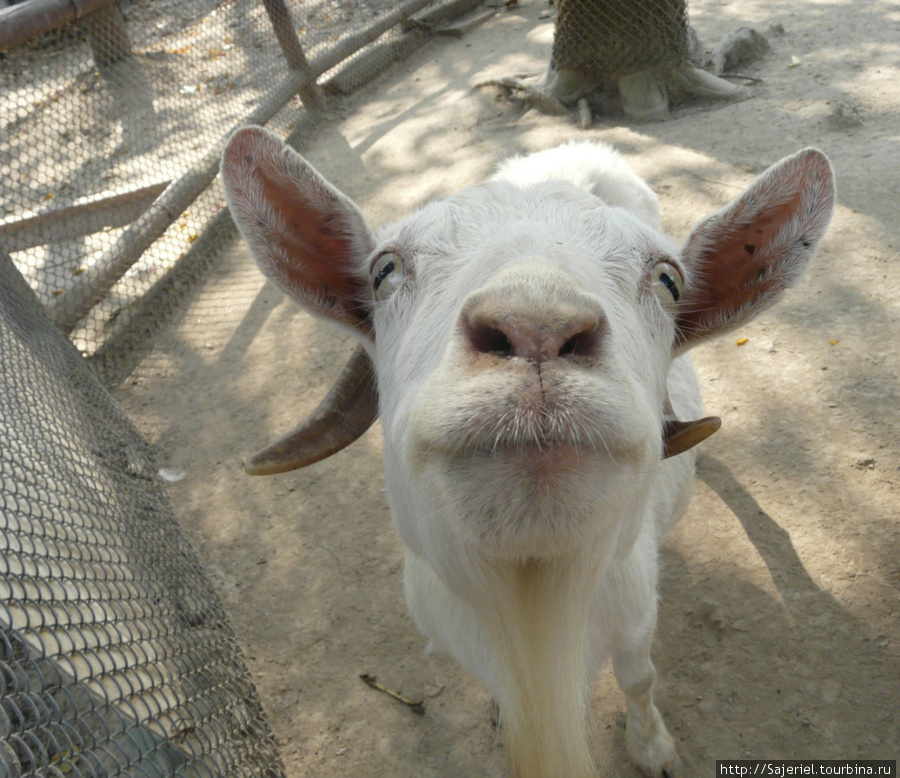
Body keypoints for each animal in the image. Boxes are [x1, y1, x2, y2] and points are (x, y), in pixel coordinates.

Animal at [221, 130, 832, 772]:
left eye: (669, 281)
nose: (537, 326)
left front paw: (654, 750)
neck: (534, 598)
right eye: (384, 270)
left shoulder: (636, 615)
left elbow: (639, 680)